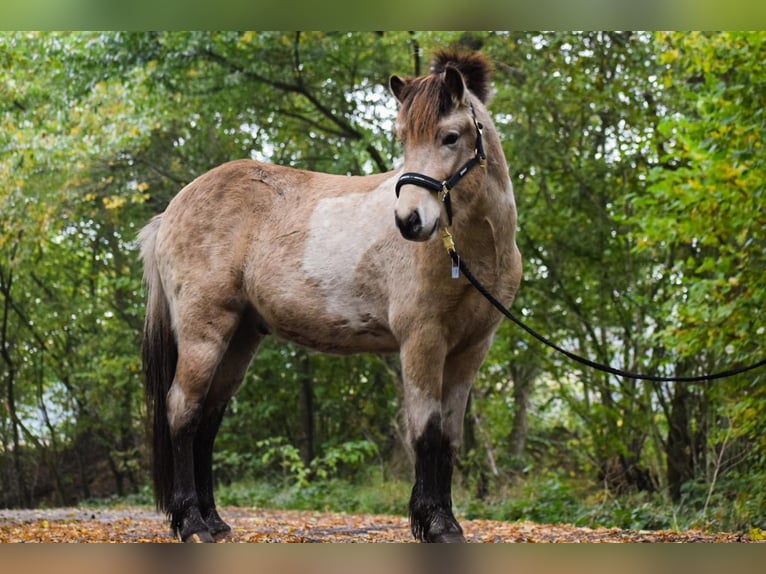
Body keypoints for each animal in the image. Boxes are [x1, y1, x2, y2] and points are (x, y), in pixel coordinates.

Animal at [140, 50, 520, 544]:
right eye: (402, 139)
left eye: (450, 136)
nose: (409, 221)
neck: (471, 249)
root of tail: (172, 210)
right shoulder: (422, 342)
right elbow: (426, 431)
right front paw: (433, 523)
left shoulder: (471, 348)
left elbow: (450, 436)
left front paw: (448, 523)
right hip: (204, 333)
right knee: (183, 412)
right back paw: (191, 524)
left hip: (240, 337)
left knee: (207, 420)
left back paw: (214, 522)